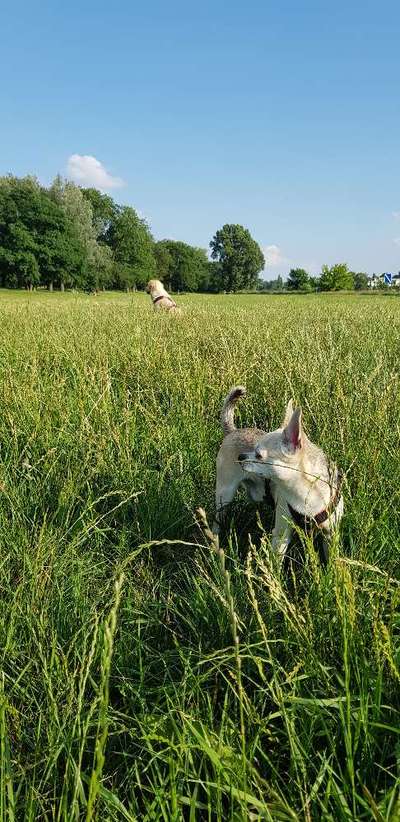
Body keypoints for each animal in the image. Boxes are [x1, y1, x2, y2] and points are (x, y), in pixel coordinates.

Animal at [214, 386, 342, 560]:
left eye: (259, 455)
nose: (240, 457)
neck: (306, 493)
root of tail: (233, 431)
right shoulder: (281, 535)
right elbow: (277, 563)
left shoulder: (330, 535)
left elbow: (331, 559)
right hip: (224, 496)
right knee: (216, 523)